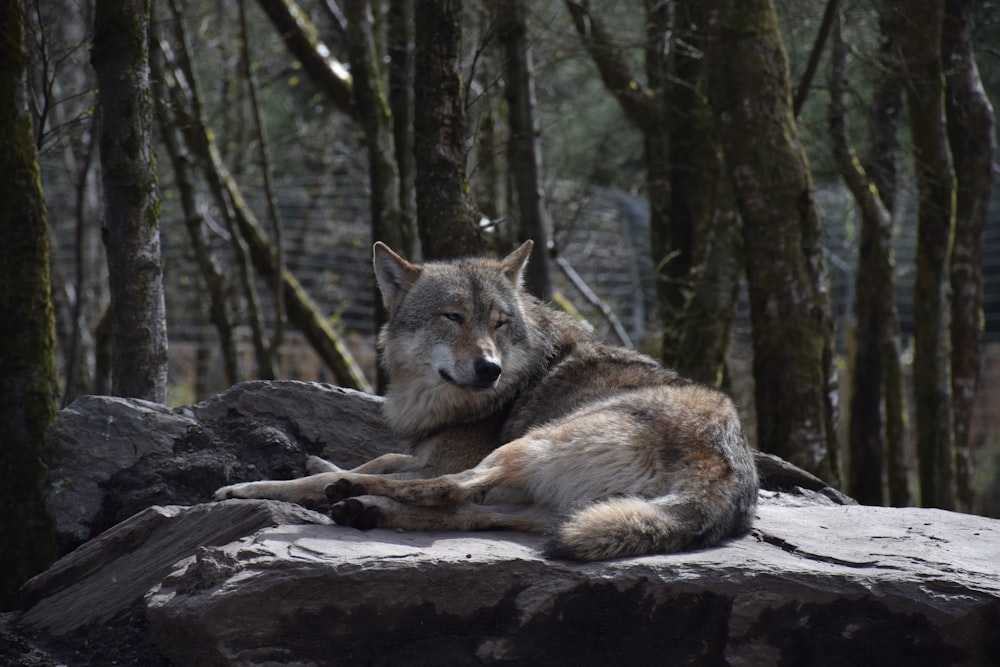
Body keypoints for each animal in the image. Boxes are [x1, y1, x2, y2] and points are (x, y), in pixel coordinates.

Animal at [213, 243, 756, 560]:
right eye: (452, 316)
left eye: (498, 322)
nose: (489, 369)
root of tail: (723, 474)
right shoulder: (423, 448)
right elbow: (385, 455)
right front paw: (323, 461)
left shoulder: (447, 456)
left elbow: (380, 468)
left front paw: (260, 485)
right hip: (548, 505)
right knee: (470, 510)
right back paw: (365, 509)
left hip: (532, 444)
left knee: (450, 488)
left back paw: (350, 495)